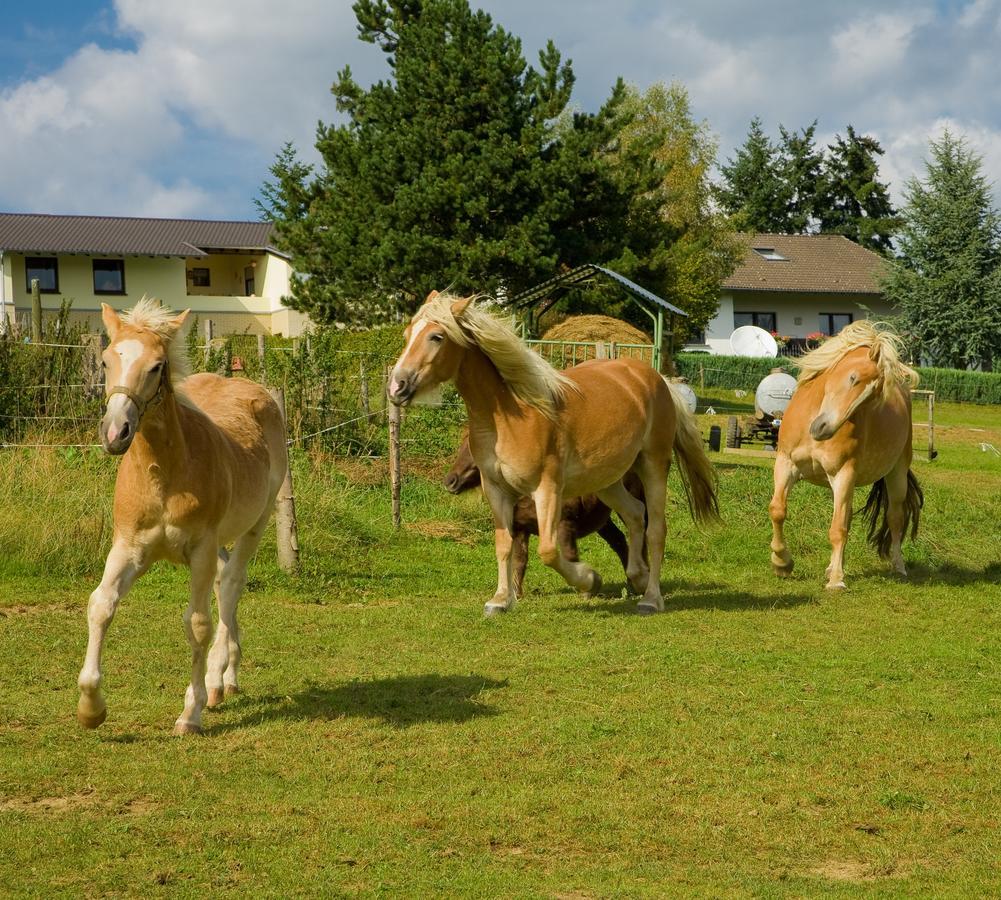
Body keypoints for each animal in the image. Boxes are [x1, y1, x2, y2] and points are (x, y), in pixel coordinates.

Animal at [76, 298, 288, 736]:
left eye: (157, 366)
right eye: (106, 361)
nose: (115, 433)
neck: (166, 474)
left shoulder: (201, 549)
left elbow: (198, 624)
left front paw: (191, 712)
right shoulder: (128, 547)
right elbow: (101, 604)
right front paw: (91, 708)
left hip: (254, 526)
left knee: (231, 585)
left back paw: (219, 679)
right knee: (225, 582)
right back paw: (229, 672)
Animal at [446, 434, 648, 600]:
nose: (450, 481)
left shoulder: (565, 525)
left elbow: (570, 556)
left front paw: (586, 588)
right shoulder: (520, 528)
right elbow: (520, 561)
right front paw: (517, 593)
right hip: (603, 521)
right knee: (620, 542)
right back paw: (632, 584)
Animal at [768, 322, 924, 592]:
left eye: (873, 397)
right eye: (853, 378)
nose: (823, 429)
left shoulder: (843, 474)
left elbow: (838, 528)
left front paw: (837, 581)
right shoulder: (786, 464)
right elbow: (778, 510)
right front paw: (782, 563)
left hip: (895, 474)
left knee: (894, 518)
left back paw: (898, 566)